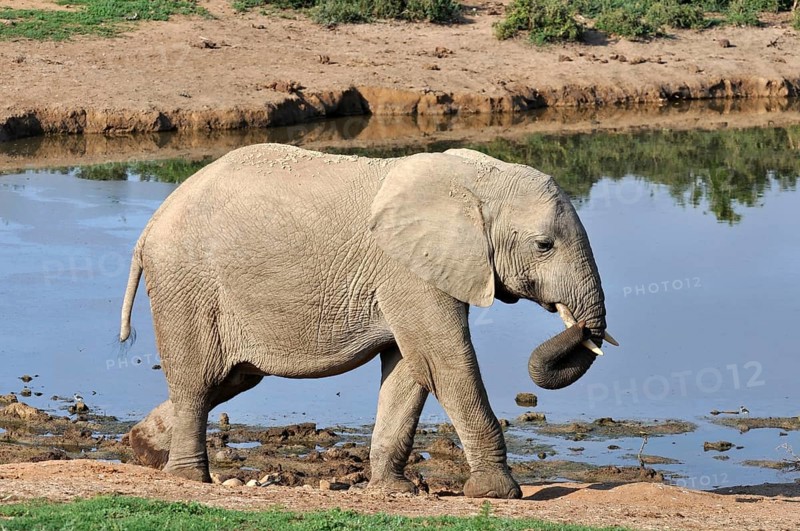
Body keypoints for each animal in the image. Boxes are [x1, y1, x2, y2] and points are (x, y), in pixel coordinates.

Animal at [120, 143, 616, 499]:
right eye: (544, 245)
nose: (577, 326)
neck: (476, 179)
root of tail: (150, 226)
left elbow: (410, 369)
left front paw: (394, 490)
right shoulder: (409, 271)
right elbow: (444, 362)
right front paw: (498, 494)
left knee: (229, 379)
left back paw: (143, 449)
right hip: (187, 283)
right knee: (198, 381)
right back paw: (189, 479)